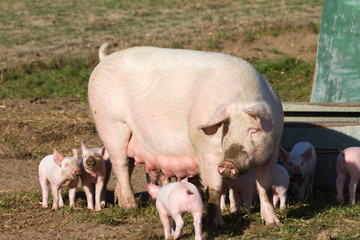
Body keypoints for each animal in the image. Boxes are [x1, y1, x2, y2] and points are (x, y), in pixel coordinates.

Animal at [88, 43, 284, 227]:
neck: (242, 97)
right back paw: (131, 206)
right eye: (226, 128)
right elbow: (214, 187)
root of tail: (104, 59)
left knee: (127, 165)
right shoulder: (206, 148)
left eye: (253, 130)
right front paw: (217, 225)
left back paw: (121, 203)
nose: (228, 163)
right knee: (120, 165)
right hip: (110, 123)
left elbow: (265, 187)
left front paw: (273, 223)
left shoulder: (273, 150)